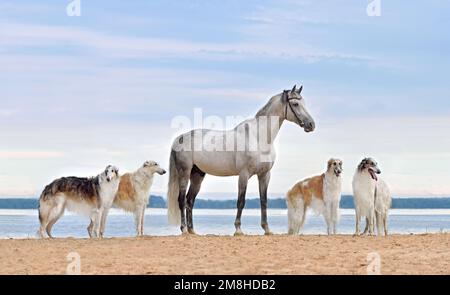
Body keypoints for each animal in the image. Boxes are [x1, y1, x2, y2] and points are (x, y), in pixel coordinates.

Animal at [167, 85, 314, 236]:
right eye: (295, 104)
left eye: (304, 103)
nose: (311, 124)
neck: (259, 138)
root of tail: (179, 138)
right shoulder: (244, 174)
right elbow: (241, 201)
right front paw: (238, 229)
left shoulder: (264, 175)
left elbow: (264, 201)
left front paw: (267, 229)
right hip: (184, 172)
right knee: (181, 199)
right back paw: (184, 229)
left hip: (198, 175)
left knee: (190, 200)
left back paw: (192, 231)